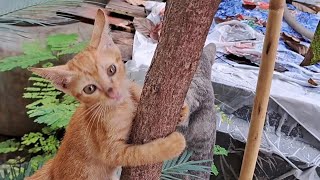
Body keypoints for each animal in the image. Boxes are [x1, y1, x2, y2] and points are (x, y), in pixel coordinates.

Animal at [27, 9, 189, 180]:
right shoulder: (111, 152)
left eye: (112, 69)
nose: (112, 92)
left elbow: (131, 86)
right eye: (89, 89)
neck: (122, 105)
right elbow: (140, 154)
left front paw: (183, 111)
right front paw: (173, 145)